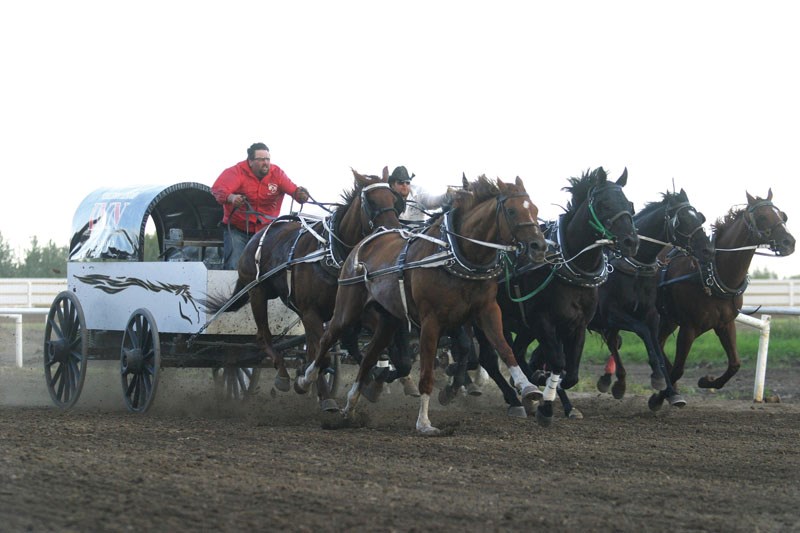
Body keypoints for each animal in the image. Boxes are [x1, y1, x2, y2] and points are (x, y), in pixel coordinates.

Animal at [206, 168, 406, 406]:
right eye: (372, 202)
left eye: (394, 199)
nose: (394, 233)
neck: (332, 255)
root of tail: (256, 237)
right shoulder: (312, 311)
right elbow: (324, 355)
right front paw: (308, 383)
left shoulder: (353, 312)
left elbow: (373, 346)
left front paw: (375, 379)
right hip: (258, 293)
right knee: (264, 336)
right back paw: (285, 376)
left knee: (309, 347)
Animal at [296, 175, 548, 432]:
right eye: (512, 211)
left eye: (535, 209)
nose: (540, 246)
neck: (455, 256)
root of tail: (364, 242)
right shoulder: (431, 320)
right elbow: (427, 371)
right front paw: (424, 422)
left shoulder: (486, 311)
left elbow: (504, 349)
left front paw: (528, 388)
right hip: (347, 310)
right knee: (326, 340)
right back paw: (306, 380)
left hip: (387, 321)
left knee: (368, 358)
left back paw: (350, 406)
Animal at [476, 166, 636, 424]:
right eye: (604, 204)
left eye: (629, 204)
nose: (631, 241)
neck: (570, 266)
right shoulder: (543, 321)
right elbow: (558, 363)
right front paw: (544, 399)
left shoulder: (577, 324)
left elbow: (570, 373)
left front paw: (551, 396)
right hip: (482, 319)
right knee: (490, 359)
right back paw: (516, 398)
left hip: (521, 327)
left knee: (517, 352)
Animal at [648, 189, 792, 410]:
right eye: (762, 217)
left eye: (782, 215)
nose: (789, 242)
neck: (710, 272)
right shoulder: (688, 328)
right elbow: (679, 369)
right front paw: (659, 397)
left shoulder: (725, 324)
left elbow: (735, 364)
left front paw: (706, 381)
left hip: (668, 319)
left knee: (659, 345)